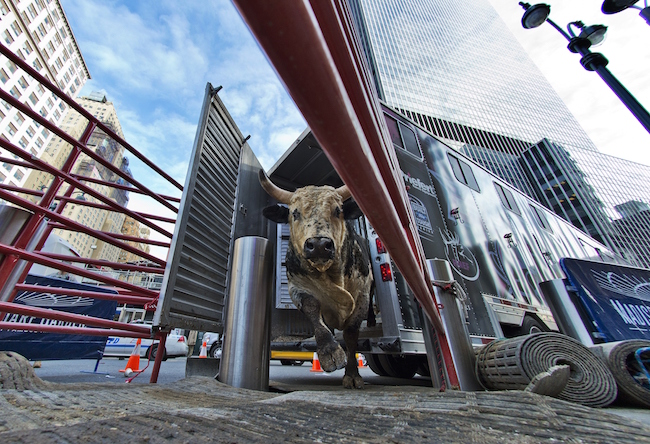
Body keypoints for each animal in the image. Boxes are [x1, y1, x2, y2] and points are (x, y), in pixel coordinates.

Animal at [256, 170, 370, 388]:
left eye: (337, 210)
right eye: (295, 213)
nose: (319, 245)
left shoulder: (363, 294)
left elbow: (351, 334)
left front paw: (352, 375)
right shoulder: (296, 287)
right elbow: (312, 308)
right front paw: (330, 353)